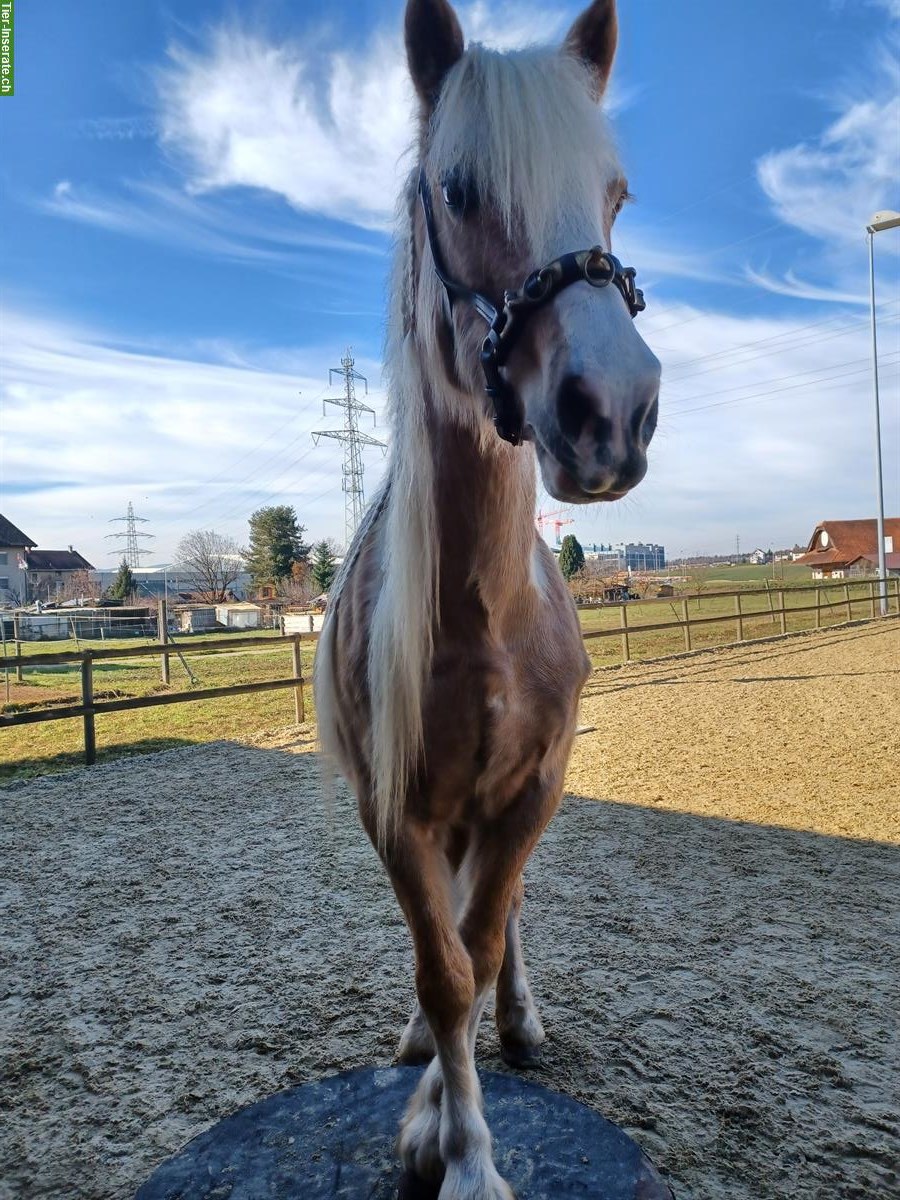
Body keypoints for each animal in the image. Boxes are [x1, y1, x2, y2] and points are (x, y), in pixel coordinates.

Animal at [316, 2, 662, 1190]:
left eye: (615, 194)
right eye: (459, 189)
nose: (613, 410)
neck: (483, 618)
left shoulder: (533, 790)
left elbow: (479, 936)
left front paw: (453, 1130)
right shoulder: (396, 810)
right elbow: (441, 967)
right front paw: (452, 1130)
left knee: (503, 917)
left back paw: (518, 1019)